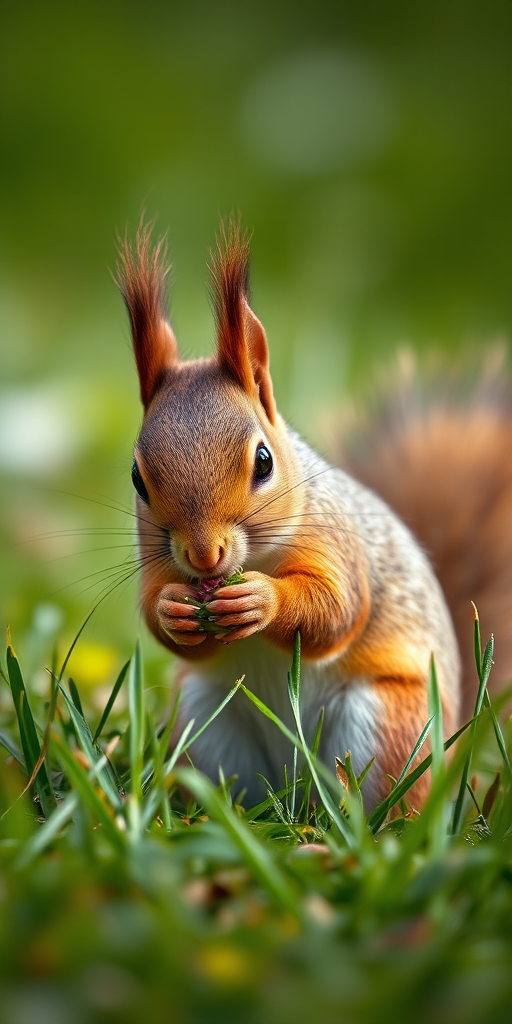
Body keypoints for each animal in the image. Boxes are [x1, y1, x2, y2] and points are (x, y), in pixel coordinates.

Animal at [116, 220, 511, 810]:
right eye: (138, 479)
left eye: (263, 461)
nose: (204, 556)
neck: (258, 556)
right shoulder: (157, 561)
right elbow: (157, 617)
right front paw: (171, 609)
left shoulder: (338, 544)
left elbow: (336, 611)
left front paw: (262, 600)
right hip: (203, 723)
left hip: (386, 726)